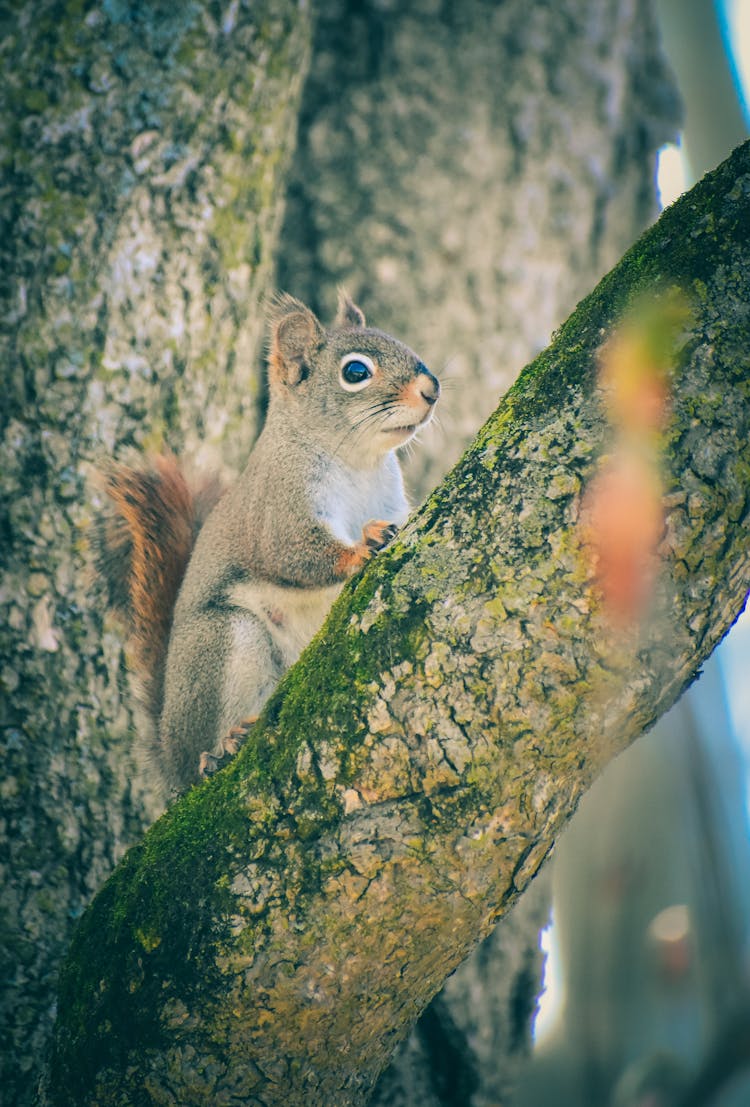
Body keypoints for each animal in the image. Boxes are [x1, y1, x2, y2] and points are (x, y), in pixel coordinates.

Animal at [95, 294, 440, 797]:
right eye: (356, 371)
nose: (431, 389)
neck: (358, 462)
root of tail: (169, 750)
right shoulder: (279, 508)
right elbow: (294, 554)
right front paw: (362, 546)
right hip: (226, 639)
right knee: (203, 749)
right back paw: (221, 749)